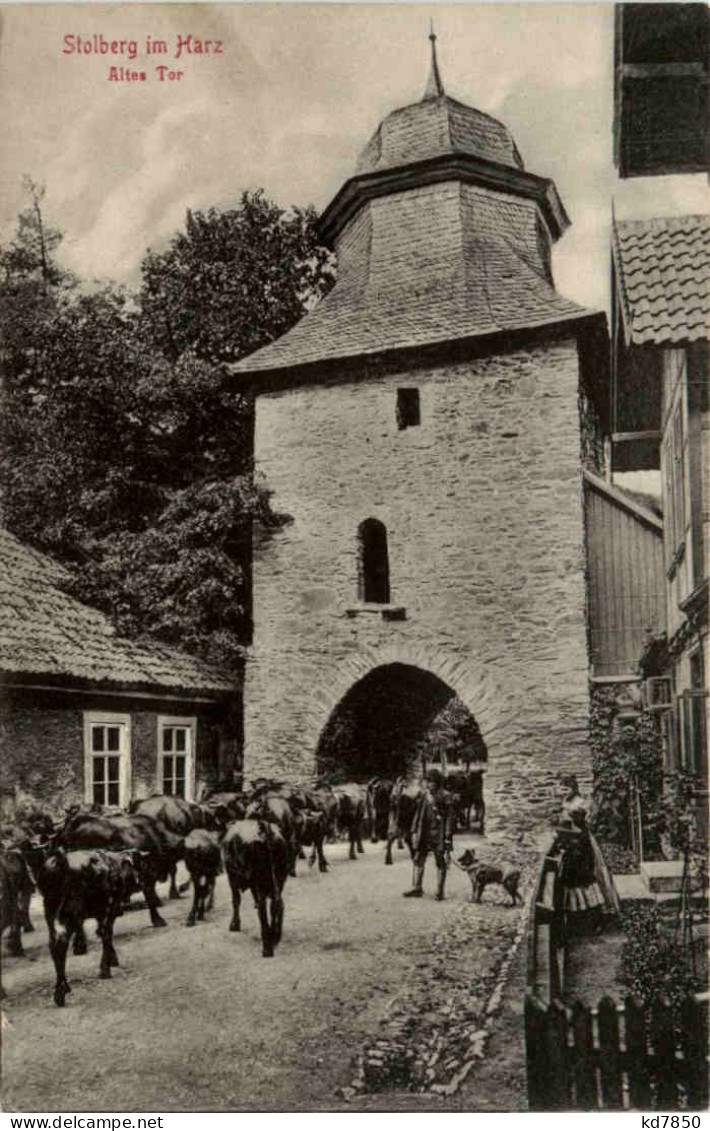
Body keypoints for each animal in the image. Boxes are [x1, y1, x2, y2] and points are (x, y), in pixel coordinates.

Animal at [41, 850, 138, 1008]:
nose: (137, 880)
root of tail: (62, 860)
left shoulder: (102, 914)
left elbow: (103, 934)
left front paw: (112, 960)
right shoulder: (109, 909)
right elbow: (106, 934)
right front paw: (106, 969)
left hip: (50, 913)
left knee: (53, 945)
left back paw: (62, 989)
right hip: (72, 913)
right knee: (61, 943)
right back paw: (61, 991)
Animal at [221, 823, 288, 954]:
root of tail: (266, 830)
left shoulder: (232, 877)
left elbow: (236, 901)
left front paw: (234, 924)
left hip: (261, 882)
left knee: (263, 910)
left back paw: (267, 946)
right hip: (279, 880)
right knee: (277, 905)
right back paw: (275, 935)